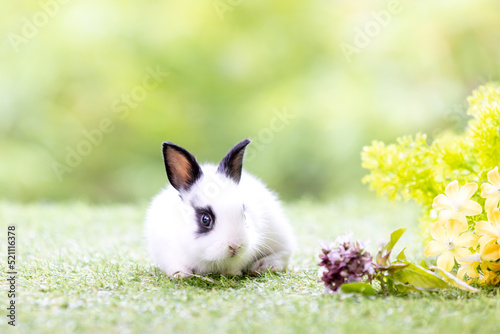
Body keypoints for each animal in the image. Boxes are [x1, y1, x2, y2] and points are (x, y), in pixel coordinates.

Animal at [144, 138, 292, 276]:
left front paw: (231, 274)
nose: (235, 246)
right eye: (205, 220)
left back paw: (263, 267)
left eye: (244, 215)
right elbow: (177, 266)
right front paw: (181, 275)